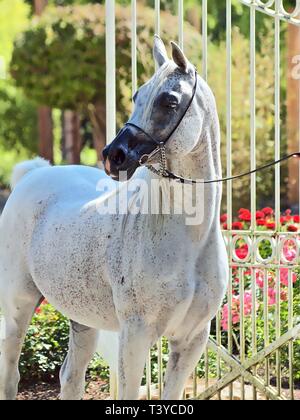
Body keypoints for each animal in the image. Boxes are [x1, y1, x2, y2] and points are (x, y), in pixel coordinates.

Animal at [0, 38, 227, 400]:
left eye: (169, 101)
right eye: (136, 96)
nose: (113, 155)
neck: (189, 240)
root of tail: (31, 174)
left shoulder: (191, 340)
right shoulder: (135, 336)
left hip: (83, 319)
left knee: (71, 376)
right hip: (18, 307)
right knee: (10, 375)